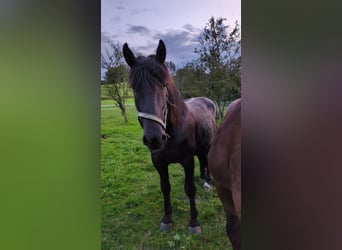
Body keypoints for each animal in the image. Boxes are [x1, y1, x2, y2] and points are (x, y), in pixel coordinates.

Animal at [122, 40, 216, 233]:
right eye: (134, 87)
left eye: (164, 84)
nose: (154, 139)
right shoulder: (159, 162)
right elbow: (165, 188)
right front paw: (167, 219)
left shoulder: (187, 160)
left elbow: (190, 189)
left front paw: (194, 222)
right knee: (202, 161)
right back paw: (202, 178)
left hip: (208, 145)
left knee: (207, 161)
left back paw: (208, 182)